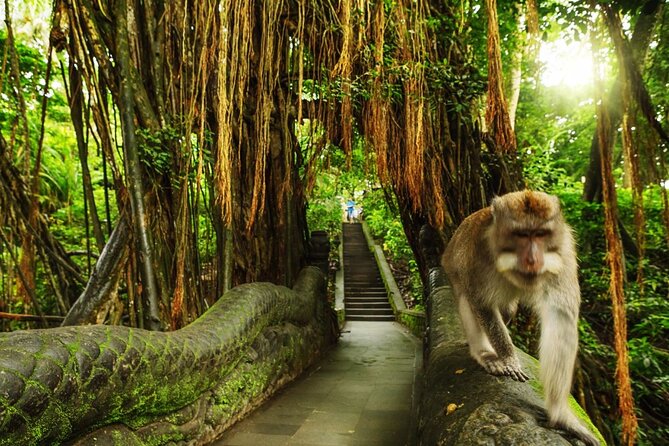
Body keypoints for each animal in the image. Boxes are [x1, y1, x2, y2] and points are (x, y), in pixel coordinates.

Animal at [441, 190, 601, 446]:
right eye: (521, 235)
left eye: (541, 234)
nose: (533, 259)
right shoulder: (477, 254)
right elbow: (481, 302)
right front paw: (508, 358)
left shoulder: (564, 253)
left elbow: (561, 316)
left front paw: (561, 415)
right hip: (452, 269)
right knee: (468, 299)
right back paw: (484, 352)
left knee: (506, 311)